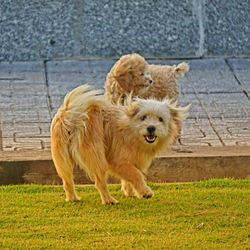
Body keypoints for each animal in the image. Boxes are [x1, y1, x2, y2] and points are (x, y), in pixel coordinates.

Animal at [51, 84, 190, 205]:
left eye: (160, 119)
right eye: (143, 117)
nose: (151, 128)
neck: (130, 129)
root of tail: (72, 116)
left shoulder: (132, 160)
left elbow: (130, 176)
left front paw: (130, 192)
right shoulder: (117, 161)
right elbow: (136, 174)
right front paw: (145, 192)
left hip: (62, 159)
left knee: (67, 181)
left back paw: (73, 198)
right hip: (96, 155)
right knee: (100, 182)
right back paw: (109, 200)